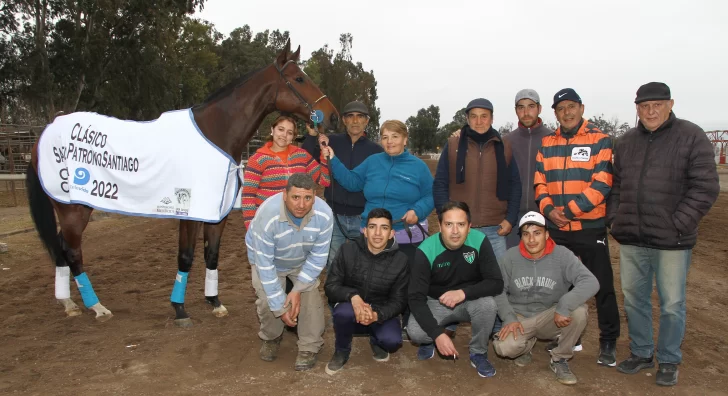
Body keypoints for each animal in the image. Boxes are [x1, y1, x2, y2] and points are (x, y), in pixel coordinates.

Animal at [24, 40, 338, 326]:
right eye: (299, 78)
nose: (332, 115)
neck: (215, 134)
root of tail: (47, 131)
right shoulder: (190, 212)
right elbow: (186, 257)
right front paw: (179, 308)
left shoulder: (217, 213)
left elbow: (211, 254)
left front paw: (214, 302)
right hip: (73, 208)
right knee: (72, 250)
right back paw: (97, 307)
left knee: (61, 246)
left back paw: (68, 303)